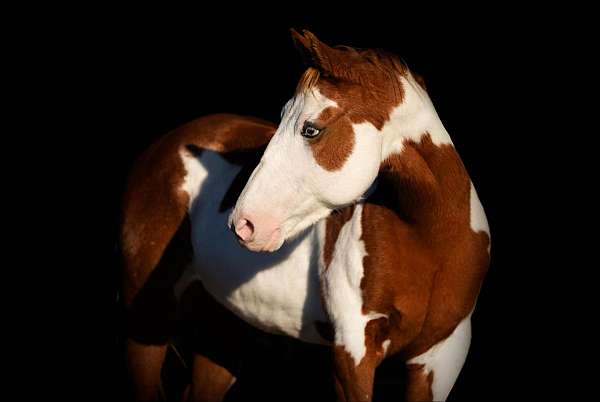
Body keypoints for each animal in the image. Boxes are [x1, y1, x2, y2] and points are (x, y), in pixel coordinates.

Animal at [119, 29, 490, 402]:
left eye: (311, 129)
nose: (243, 224)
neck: (430, 243)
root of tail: (164, 147)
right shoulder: (352, 355)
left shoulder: (439, 359)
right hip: (147, 321)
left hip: (223, 328)